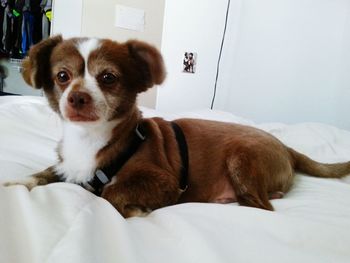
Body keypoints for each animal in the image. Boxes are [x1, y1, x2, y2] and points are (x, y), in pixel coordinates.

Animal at [3, 36, 350, 218]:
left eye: (108, 78)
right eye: (62, 76)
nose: (77, 97)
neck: (90, 139)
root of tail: (286, 148)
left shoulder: (164, 183)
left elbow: (112, 192)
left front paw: (133, 209)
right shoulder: (69, 167)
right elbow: (42, 174)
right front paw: (14, 183)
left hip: (241, 156)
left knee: (263, 205)